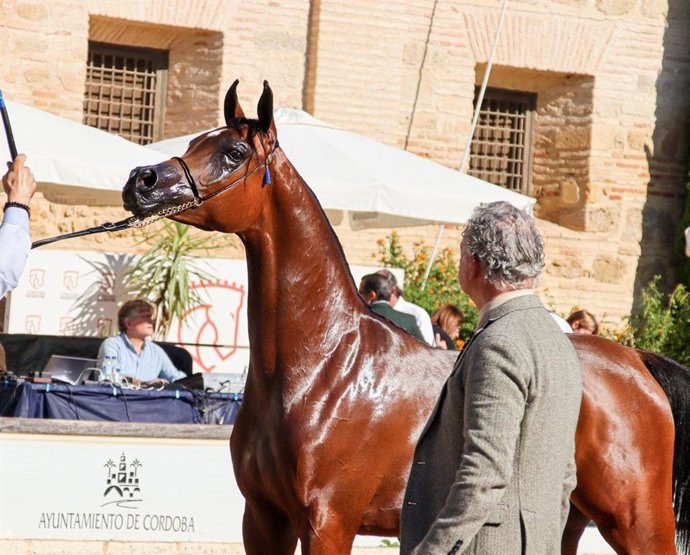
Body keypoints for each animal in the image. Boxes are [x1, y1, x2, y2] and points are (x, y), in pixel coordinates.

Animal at [123, 80, 690, 554]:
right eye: (196, 140)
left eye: (234, 152)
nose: (141, 180)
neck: (320, 367)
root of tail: (636, 364)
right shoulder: (263, 519)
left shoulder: (328, 521)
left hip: (636, 520)